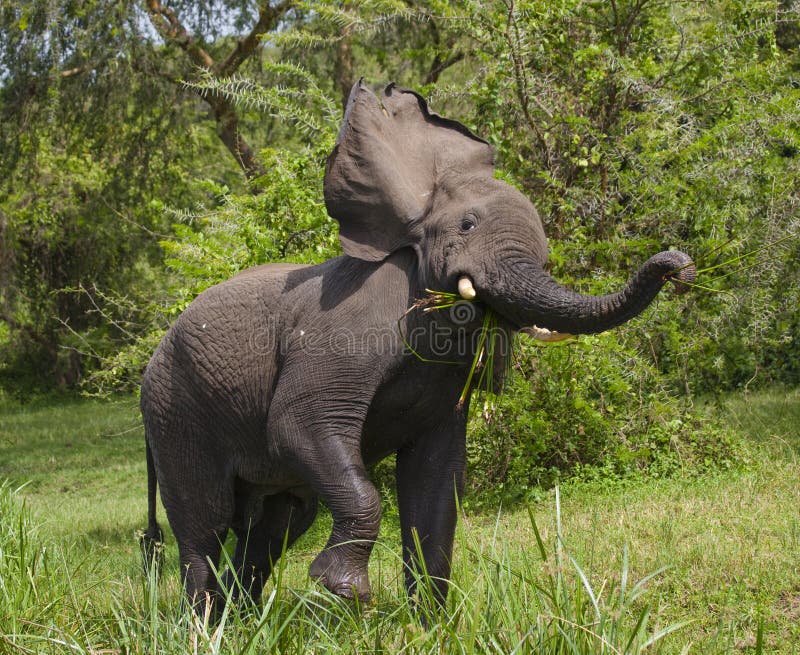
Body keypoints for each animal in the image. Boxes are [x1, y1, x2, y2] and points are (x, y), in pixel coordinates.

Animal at [141, 82, 696, 616]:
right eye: (467, 225)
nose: (679, 267)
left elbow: (435, 481)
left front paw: (429, 627)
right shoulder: (346, 328)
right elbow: (299, 425)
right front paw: (346, 594)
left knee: (276, 527)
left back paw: (238, 621)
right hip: (176, 409)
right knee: (206, 524)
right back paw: (201, 627)